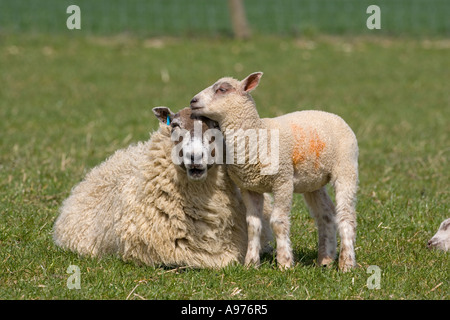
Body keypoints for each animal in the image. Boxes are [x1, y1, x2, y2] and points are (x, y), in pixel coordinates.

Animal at [190, 72, 358, 270]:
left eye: (222, 89)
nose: (193, 101)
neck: (258, 134)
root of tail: (333, 115)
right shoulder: (249, 187)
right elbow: (253, 225)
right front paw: (251, 263)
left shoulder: (283, 181)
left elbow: (278, 221)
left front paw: (284, 262)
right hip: (314, 181)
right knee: (326, 214)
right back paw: (325, 260)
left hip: (346, 167)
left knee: (346, 215)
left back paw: (346, 263)